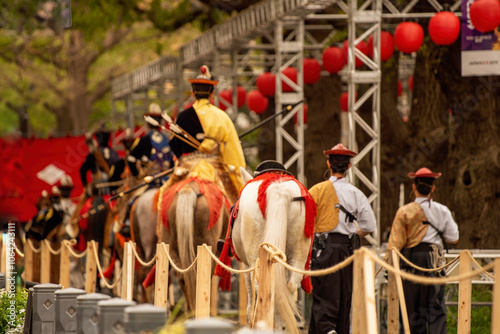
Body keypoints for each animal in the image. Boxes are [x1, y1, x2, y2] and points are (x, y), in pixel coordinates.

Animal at [231, 168, 316, 332]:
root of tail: (280, 190)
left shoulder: (246, 265)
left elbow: (251, 292)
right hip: (297, 254)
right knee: (289, 288)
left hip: (255, 256)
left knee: (259, 287)